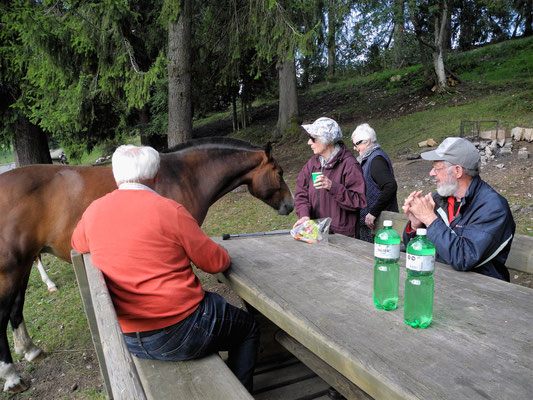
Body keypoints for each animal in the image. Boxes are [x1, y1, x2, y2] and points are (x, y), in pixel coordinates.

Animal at [0, 136, 296, 392]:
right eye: (279, 173)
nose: (290, 205)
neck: (183, 175)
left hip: (23, 266)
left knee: (16, 308)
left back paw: (30, 350)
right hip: (11, 269)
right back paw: (12, 377)